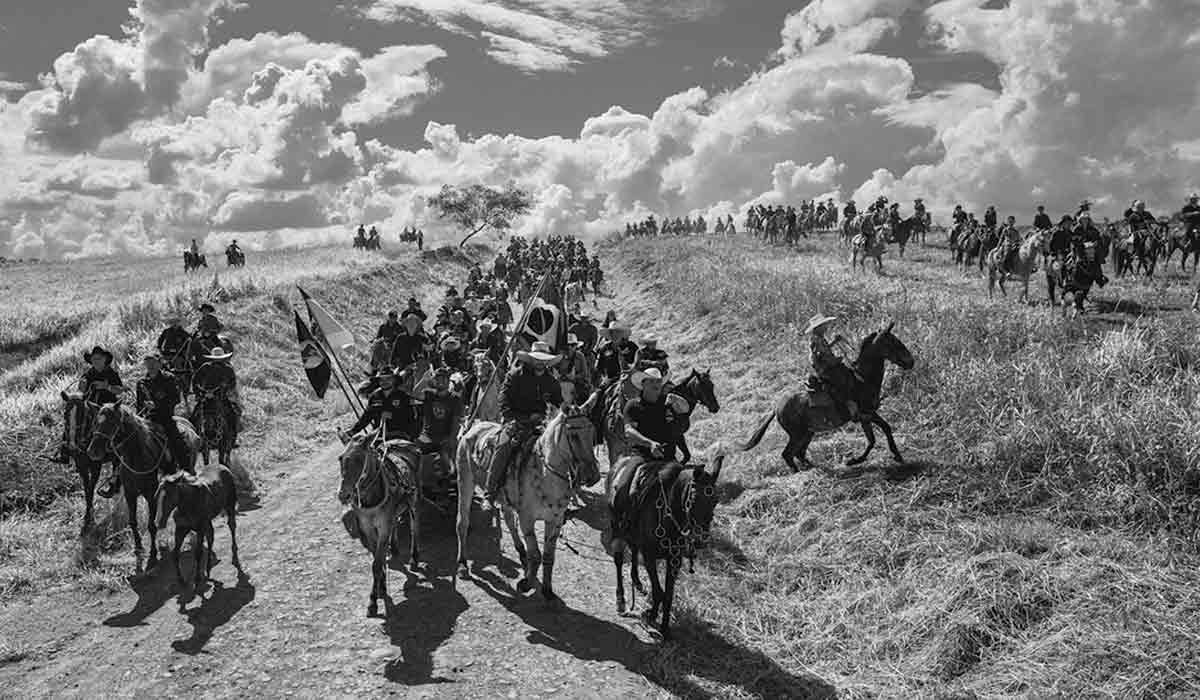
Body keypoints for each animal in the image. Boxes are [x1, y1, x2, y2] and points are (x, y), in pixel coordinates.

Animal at [85, 403, 201, 571]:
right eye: (95, 423)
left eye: (111, 423)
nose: (92, 451)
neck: (137, 456)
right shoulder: (130, 494)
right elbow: (133, 522)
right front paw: (139, 548)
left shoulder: (151, 496)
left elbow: (151, 525)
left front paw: (152, 556)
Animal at [340, 434, 424, 619]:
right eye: (340, 458)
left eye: (359, 459)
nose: (343, 495)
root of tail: (401, 441)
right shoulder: (368, 528)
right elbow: (377, 559)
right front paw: (381, 587)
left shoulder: (383, 526)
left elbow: (377, 563)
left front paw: (372, 602)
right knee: (395, 527)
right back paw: (395, 547)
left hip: (414, 502)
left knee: (414, 528)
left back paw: (414, 557)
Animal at [451, 403, 597, 605]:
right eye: (573, 435)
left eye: (592, 431)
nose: (593, 476)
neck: (545, 473)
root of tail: (473, 427)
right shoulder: (527, 519)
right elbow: (535, 555)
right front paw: (526, 583)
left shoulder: (555, 520)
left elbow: (548, 556)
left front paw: (547, 590)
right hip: (465, 481)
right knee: (462, 523)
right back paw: (462, 564)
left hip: (504, 497)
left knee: (508, 520)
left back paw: (521, 553)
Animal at [604, 449, 724, 638]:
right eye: (694, 497)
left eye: (716, 500)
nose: (700, 540)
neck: (668, 517)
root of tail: (620, 462)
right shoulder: (650, 557)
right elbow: (658, 591)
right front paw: (651, 616)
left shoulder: (674, 560)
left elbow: (667, 595)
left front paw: (665, 627)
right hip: (616, 527)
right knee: (618, 560)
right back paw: (621, 600)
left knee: (634, 550)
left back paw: (637, 581)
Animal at [729, 326, 907, 473]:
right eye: (894, 343)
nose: (910, 361)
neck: (862, 379)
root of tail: (776, 407)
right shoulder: (866, 414)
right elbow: (881, 432)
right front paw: (858, 460)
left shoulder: (866, 417)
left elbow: (876, 436)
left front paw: (859, 460)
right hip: (797, 435)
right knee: (787, 454)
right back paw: (798, 472)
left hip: (808, 433)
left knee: (799, 453)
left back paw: (813, 467)